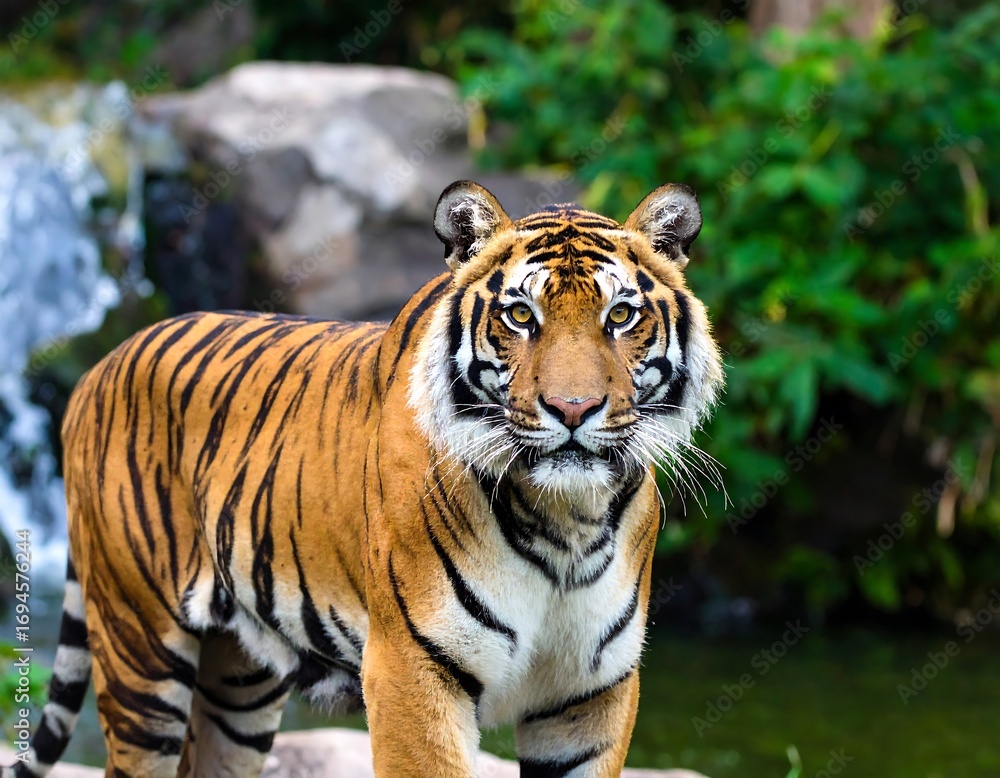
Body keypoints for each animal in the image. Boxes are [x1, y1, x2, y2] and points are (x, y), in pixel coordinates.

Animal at [4, 179, 723, 778]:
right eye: (521, 316)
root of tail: (98, 367)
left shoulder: (589, 694)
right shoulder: (411, 669)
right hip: (140, 652)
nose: (573, 410)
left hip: (238, 686)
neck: (565, 517)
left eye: (620, 316)